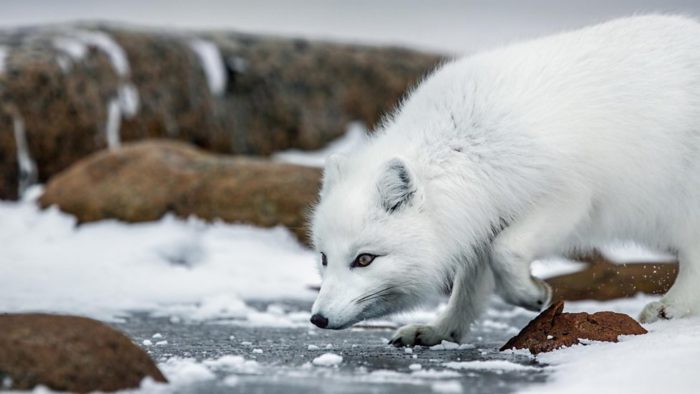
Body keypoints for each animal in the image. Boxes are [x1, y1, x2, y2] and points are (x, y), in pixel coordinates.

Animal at [308, 14, 700, 344]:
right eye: (324, 258)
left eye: (364, 259)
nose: (318, 319)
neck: (463, 148)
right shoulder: (479, 218)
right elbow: (469, 288)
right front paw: (441, 330)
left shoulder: (568, 199)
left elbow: (506, 251)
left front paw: (532, 294)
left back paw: (672, 307)